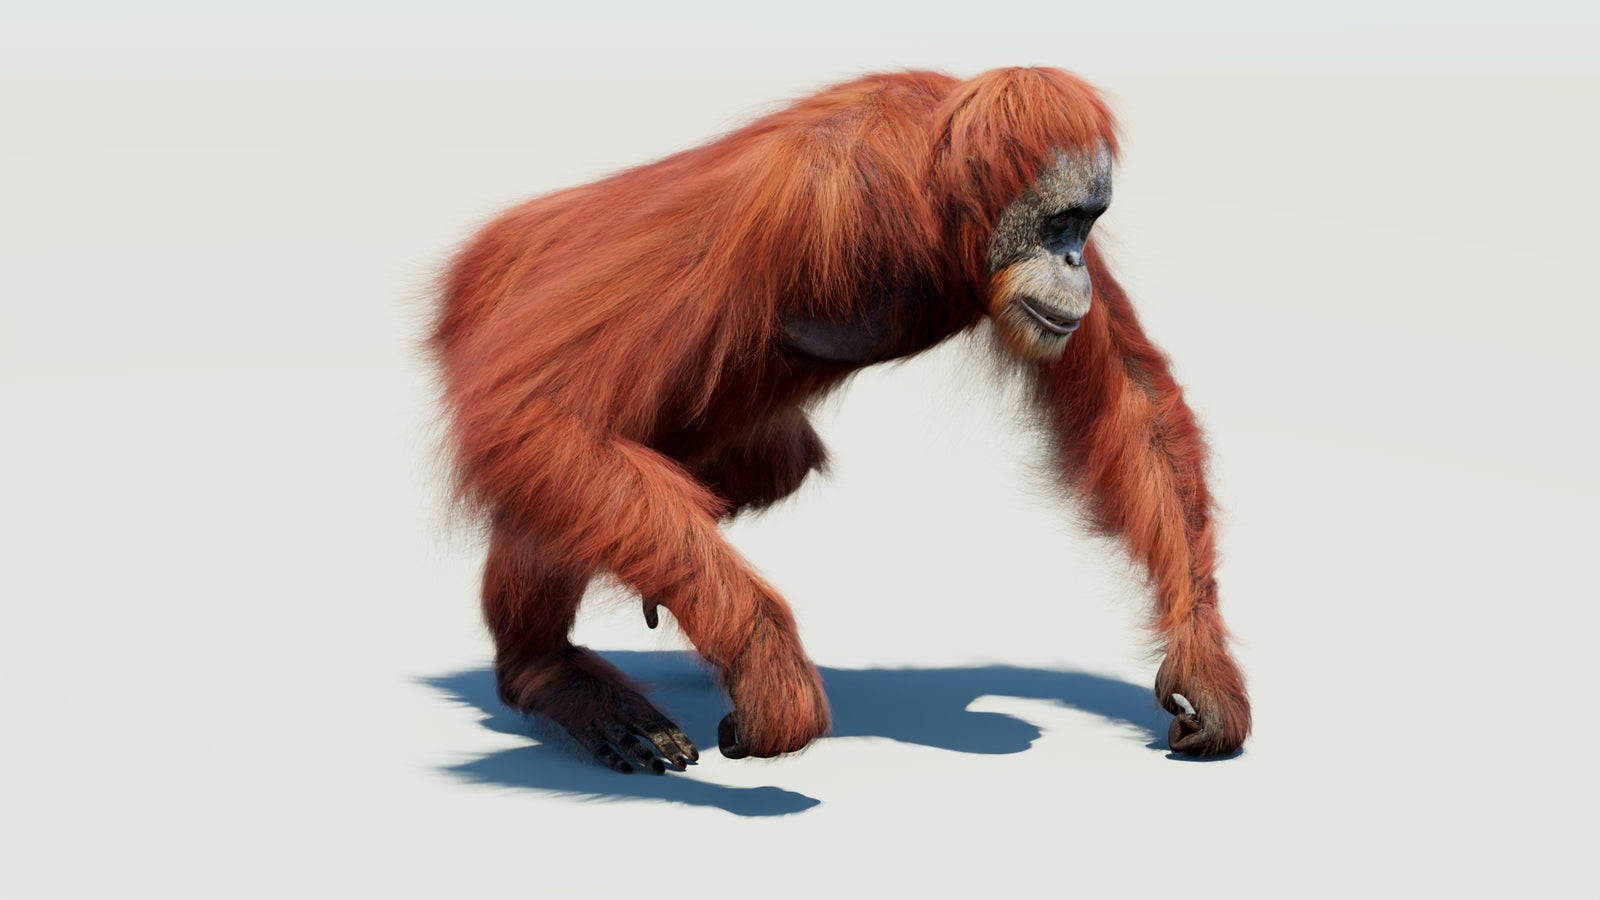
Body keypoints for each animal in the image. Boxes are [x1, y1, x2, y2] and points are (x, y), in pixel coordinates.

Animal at [430, 67, 1250, 773]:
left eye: (1087, 226)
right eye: (1059, 224)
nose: (1075, 260)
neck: (932, 201)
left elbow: (1133, 399)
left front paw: (1204, 666)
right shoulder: (797, 200)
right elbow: (538, 404)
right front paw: (766, 663)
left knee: (753, 468)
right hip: (495, 295)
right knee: (545, 445)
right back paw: (550, 673)